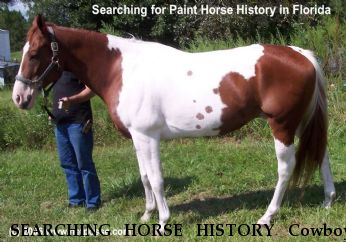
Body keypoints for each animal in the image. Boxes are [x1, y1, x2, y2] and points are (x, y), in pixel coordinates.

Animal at [12, 16, 334, 228]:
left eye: (35, 53)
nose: (19, 97)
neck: (122, 69)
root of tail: (301, 54)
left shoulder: (148, 137)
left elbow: (156, 179)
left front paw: (163, 221)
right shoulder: (138, 138)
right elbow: (144, 177)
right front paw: (147, 215)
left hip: (282, 125)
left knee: (285, 168)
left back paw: (267, 216)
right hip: (302, 122)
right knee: (322, 155)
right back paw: (328, 200)